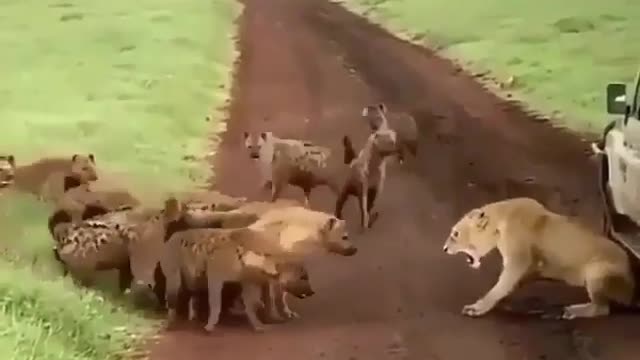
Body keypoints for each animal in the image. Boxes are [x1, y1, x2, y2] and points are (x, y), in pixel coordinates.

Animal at [444, 198, 636, 320]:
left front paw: (477, 307)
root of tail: (632, 288)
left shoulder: (518, 260)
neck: (499, 222)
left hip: (597, 271)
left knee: (602, 309)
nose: (444, 248)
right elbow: (508, 285)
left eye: (455, 234)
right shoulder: (530, 267)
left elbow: (501, 285)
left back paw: (571, 311)